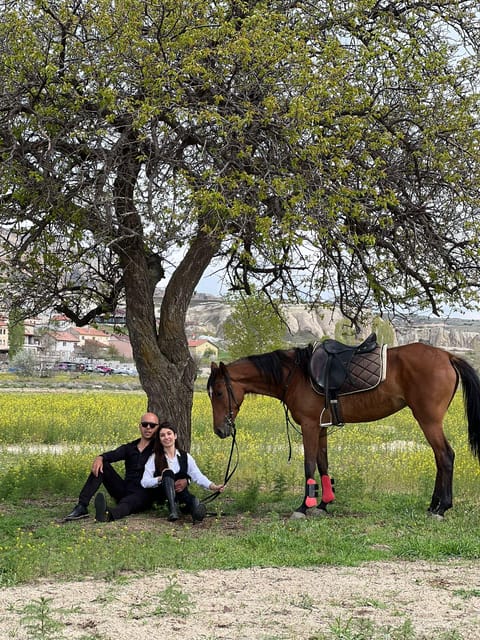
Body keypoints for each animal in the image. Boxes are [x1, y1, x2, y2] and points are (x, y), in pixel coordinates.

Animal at [206, 342, 480, 516]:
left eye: (218, 392)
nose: (220, 430)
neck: (295, 375)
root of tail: (447, 356)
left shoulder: (309, 425)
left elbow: (309, 464)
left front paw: (304, 507)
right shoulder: (321, 428)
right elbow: (323, 464)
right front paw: (324, 503)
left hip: (428, 420)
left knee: (445, 456)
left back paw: (442, 508)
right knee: (439, 458)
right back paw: (433, 505)